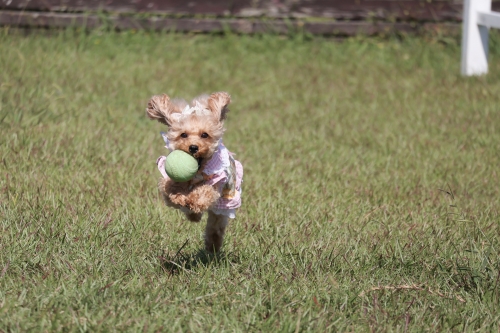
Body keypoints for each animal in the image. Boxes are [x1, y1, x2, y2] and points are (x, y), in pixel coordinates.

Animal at [146, 91, 243, 252]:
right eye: (183, 134)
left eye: (204, 135)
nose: (193, 147)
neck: (198, 172)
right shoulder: (167, 180)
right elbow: (170, 188)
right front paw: (179, 197)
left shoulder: (216, 182)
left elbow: (204, 192)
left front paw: (192, 200)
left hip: (224, 205)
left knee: (215, 228)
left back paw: (212, 247)